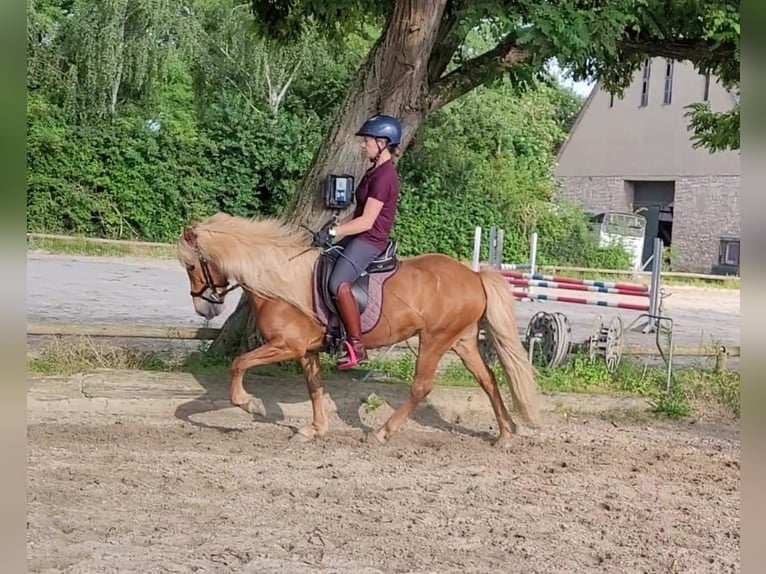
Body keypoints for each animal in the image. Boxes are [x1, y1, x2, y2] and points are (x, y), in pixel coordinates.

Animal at [178, 214, 544, 448]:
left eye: (192, 265)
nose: (205, 309)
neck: (281, 281)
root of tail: (475, 276)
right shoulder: (306, 350)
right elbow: (314, 387)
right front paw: (316, 429)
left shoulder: (286, 345)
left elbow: (238, 363)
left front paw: (250, 404)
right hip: (462, 341)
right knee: (488, 380)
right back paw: (505, 434)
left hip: (435, 339)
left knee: (421, 387)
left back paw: (382, 432)